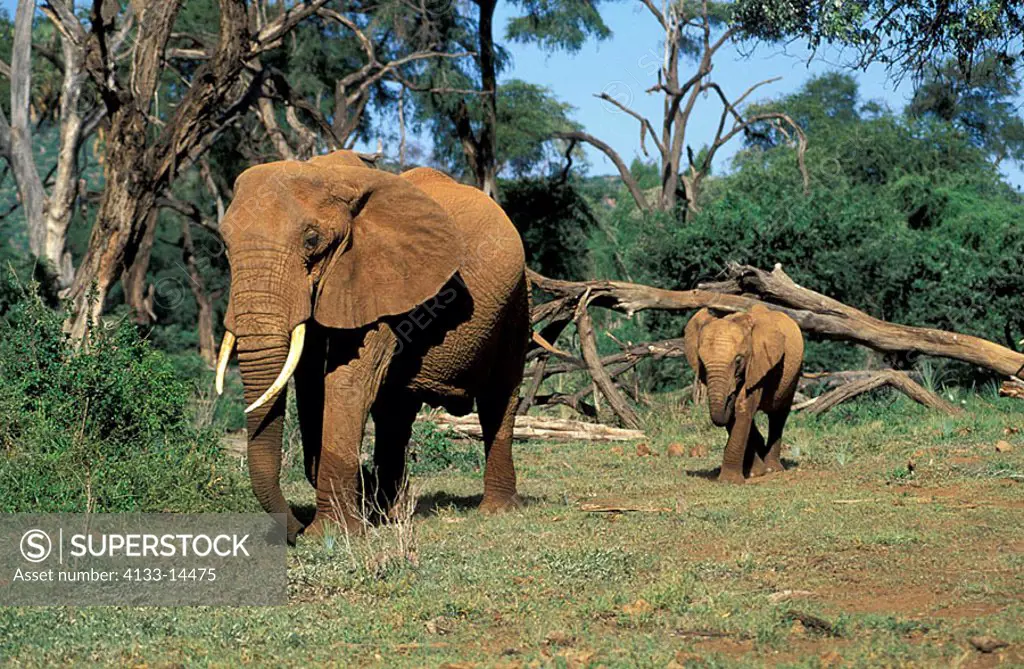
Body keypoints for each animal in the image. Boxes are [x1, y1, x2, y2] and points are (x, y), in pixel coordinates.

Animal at [216, 148, 528, 540]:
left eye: (311, 241)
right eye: (224, 245)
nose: (295, 529)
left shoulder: (378, 277)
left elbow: (347, 382)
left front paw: (331, 534)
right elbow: (311, 387)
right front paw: (356, 516)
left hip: (516, 298)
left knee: (499, 397)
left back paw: (496, 509)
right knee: (396, 410)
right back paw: (391, 512)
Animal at [684, 305, 802, 483]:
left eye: (738, 360)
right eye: (701, 363)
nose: (731, 393)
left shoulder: (758, 363)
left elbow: (742, 409)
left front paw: (730, 481)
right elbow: (736, 415)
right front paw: (754, 473)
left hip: (793, 374)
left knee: (778, 415)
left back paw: (772, 469)